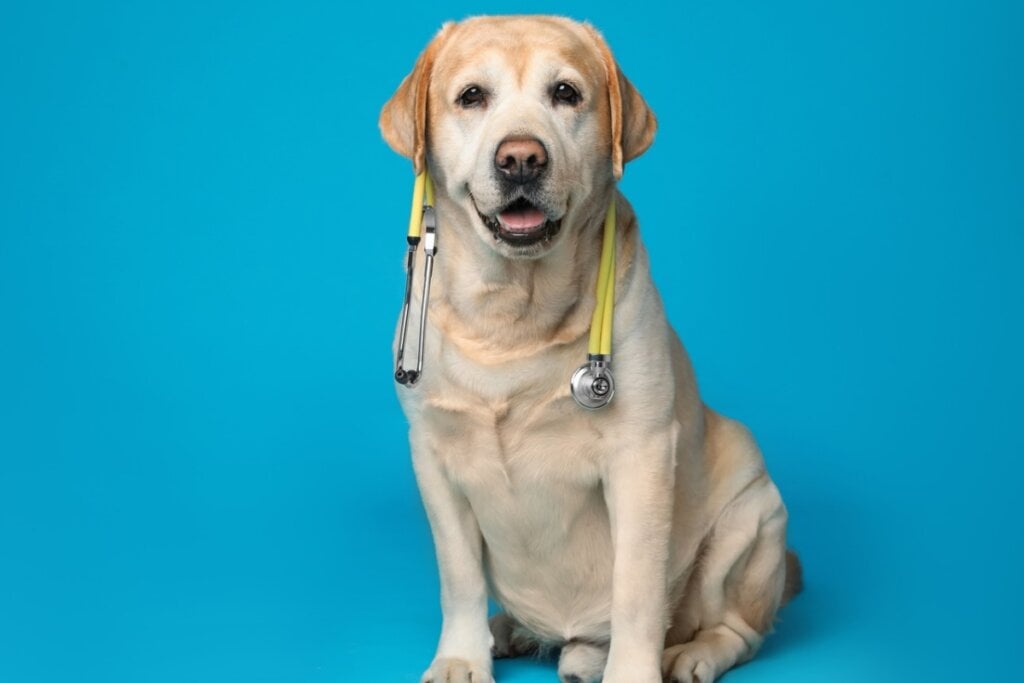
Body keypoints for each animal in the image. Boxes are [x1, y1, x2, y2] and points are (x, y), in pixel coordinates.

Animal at [378, 14, 798, 683]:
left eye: (566, 93)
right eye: (472, 96)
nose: (521, 158)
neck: (514, 314)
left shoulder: (641, 457)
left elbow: (637, 589)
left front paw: (633, 670)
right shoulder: (433, 457)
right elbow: (459, 576)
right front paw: (462, 657)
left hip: (751, 514)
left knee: (739, 628)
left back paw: (691, 654)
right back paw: (512, 630)